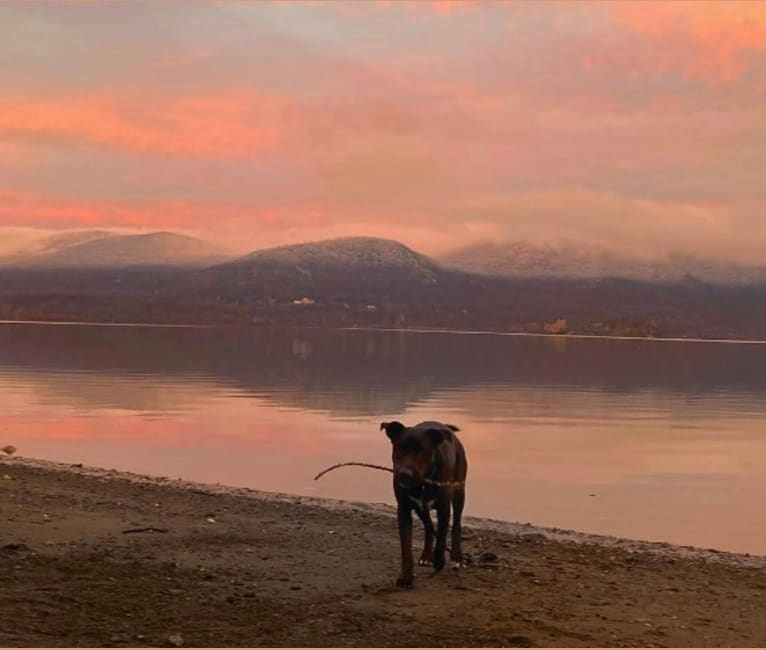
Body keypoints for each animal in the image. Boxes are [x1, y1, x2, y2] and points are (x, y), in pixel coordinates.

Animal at [382, 420, 468, 588]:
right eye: (399, 448)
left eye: (422, 451)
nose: (404, 474)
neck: (422, 482)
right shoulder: (404, 510)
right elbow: (406, 548)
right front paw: (406, 577)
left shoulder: (444, 508)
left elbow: (441, 538)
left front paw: (439, 561)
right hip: (420, 508)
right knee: (428, 526)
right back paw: (426, 556)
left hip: (459, 491)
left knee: (456, 524)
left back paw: (456, 557)